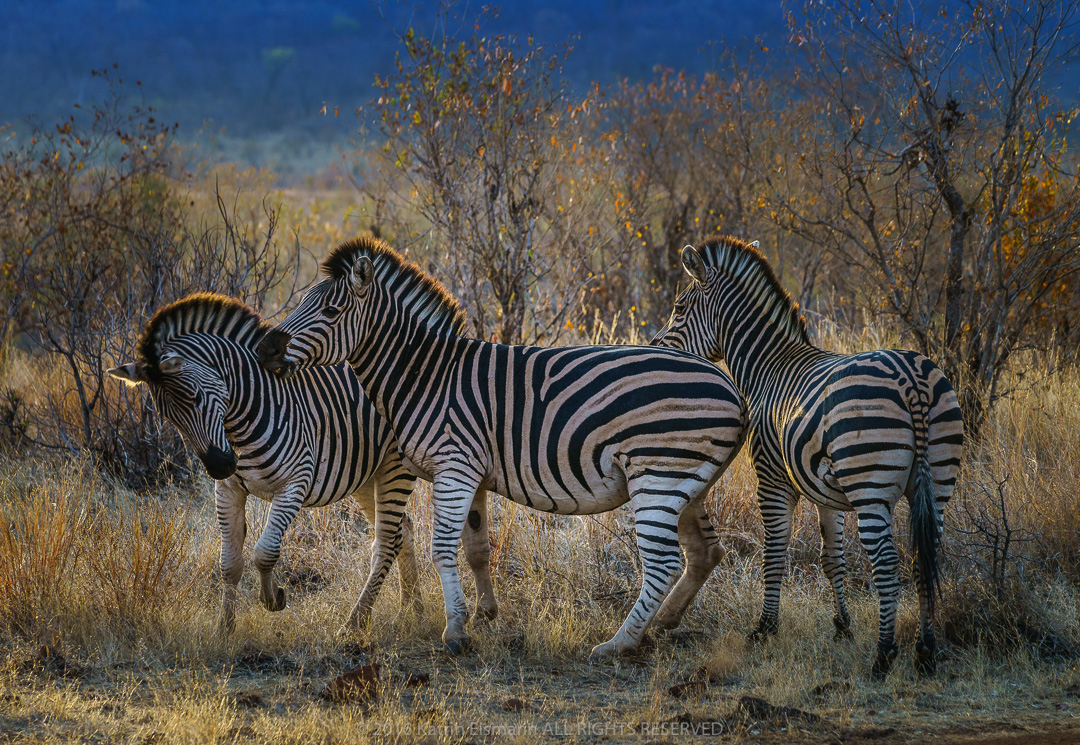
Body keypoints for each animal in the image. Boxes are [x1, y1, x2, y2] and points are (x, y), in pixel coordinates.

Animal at [107, 293, 497, 633]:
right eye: (166, 415)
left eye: (196, 398)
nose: (219, 465)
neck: (244, 417)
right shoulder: (228, 489)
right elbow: (229, 563)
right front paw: (224, 629)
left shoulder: (295, 483)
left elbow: (265, 552)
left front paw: (273, 599)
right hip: (364, 475)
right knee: (404, 530)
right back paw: (411, 608)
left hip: (393, 468)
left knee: (388, 538)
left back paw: (357, 621)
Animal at [255, 236, 747, 661]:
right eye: (300, 303)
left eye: (331, 310)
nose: (264, 349)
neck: (423, 375)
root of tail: (731, 388)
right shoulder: (471, 471)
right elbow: (475, 545)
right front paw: (483, 615)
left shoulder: (454, 465)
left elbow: (442, 546)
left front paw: (455, 631)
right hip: (688, 483)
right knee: (705, 552)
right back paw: (662, 624)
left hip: (659, 475)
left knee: (663, 562)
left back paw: (619, 643)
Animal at [651, 236, 964, 678]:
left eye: (679, 308)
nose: (656, 351)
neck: (766, 368)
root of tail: (910, 378)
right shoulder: (825, 491)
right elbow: (832, 558)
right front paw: (842, 626)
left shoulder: (773, 479)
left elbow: (774, 553)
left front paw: (764, 628)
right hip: (937, 482)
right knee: (926, 557)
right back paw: (924, 652)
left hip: (870, 485)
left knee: (887, 563)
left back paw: (884, 655)